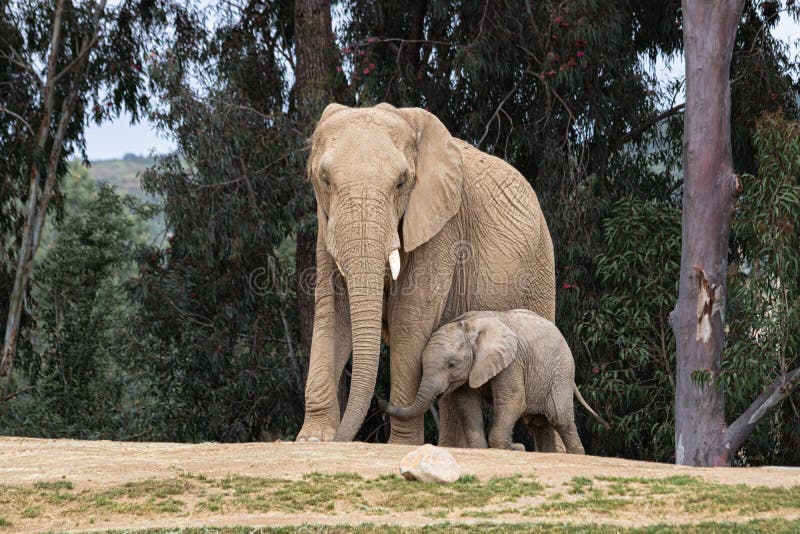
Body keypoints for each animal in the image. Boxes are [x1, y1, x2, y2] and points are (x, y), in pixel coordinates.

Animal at [296, 103, 556, 448]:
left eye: (401, 183)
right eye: (324, 179)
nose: (345, 440)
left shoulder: (442, 228)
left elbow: (410, 319)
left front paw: (402, 446)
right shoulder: (327, 226)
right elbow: (333, 312)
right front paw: (312, 440)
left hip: (541, 264)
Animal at [384, 310, 608, 456]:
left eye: (452, 364)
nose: (380, 402)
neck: (470, 326)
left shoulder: (512, 361)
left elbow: (513, 401)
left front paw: (516, 448)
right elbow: (466, 404)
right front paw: (482, 448)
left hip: (561, 370)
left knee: (559, 417)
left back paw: (577, 454)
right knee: (538, 422)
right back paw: (548, 454)